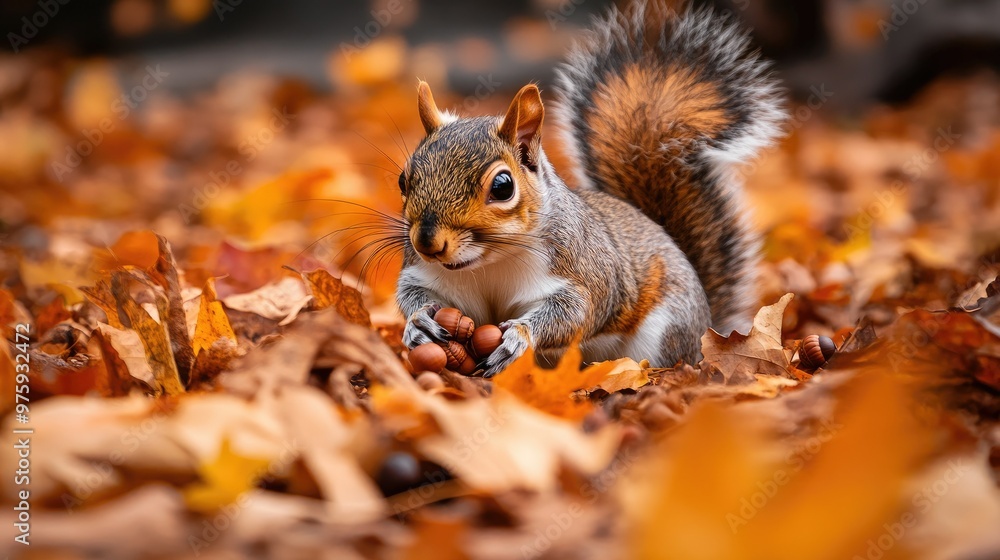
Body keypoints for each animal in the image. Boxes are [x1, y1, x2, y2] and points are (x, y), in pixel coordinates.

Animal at [395, 0, 784, 377]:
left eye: (503, 187)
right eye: (403, 180)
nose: (427, 241)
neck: (490, 262)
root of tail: (707, 328)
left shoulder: (584, 274)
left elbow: (576, 314)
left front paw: (519, 337)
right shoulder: (425, 274)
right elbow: (408, 294)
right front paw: (418, 322)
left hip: (665, 329)